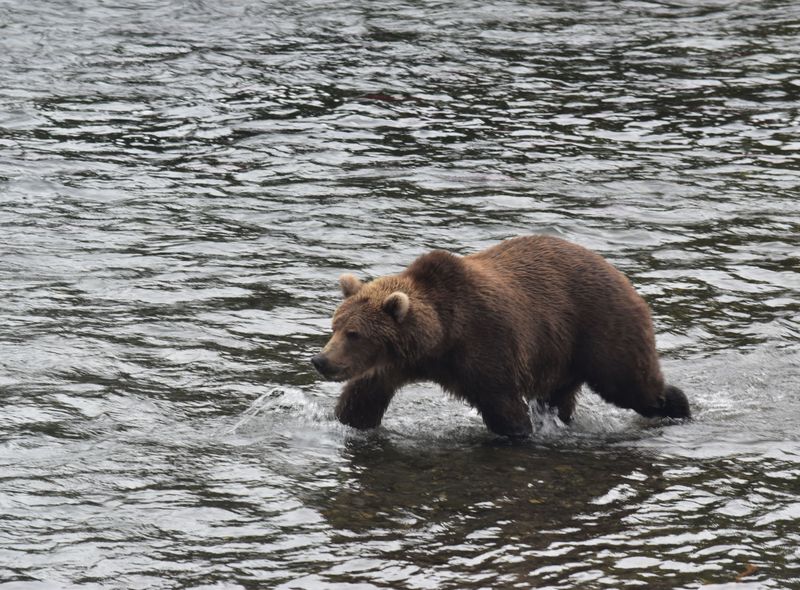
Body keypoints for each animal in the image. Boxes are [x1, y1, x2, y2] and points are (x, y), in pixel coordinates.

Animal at [311, 235, 690, 438]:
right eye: (334, 326)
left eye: (354, 333)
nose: (321, 360)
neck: (439, 341)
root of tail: (620, 274)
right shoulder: (389, 367)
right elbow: (361, 402)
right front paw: (345, 421)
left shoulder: (485, 343)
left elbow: (503, 405)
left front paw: (516, 432)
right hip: (560, 354)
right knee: (557, 398)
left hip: (599, 327)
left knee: (631, 384)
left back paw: (678, 407)